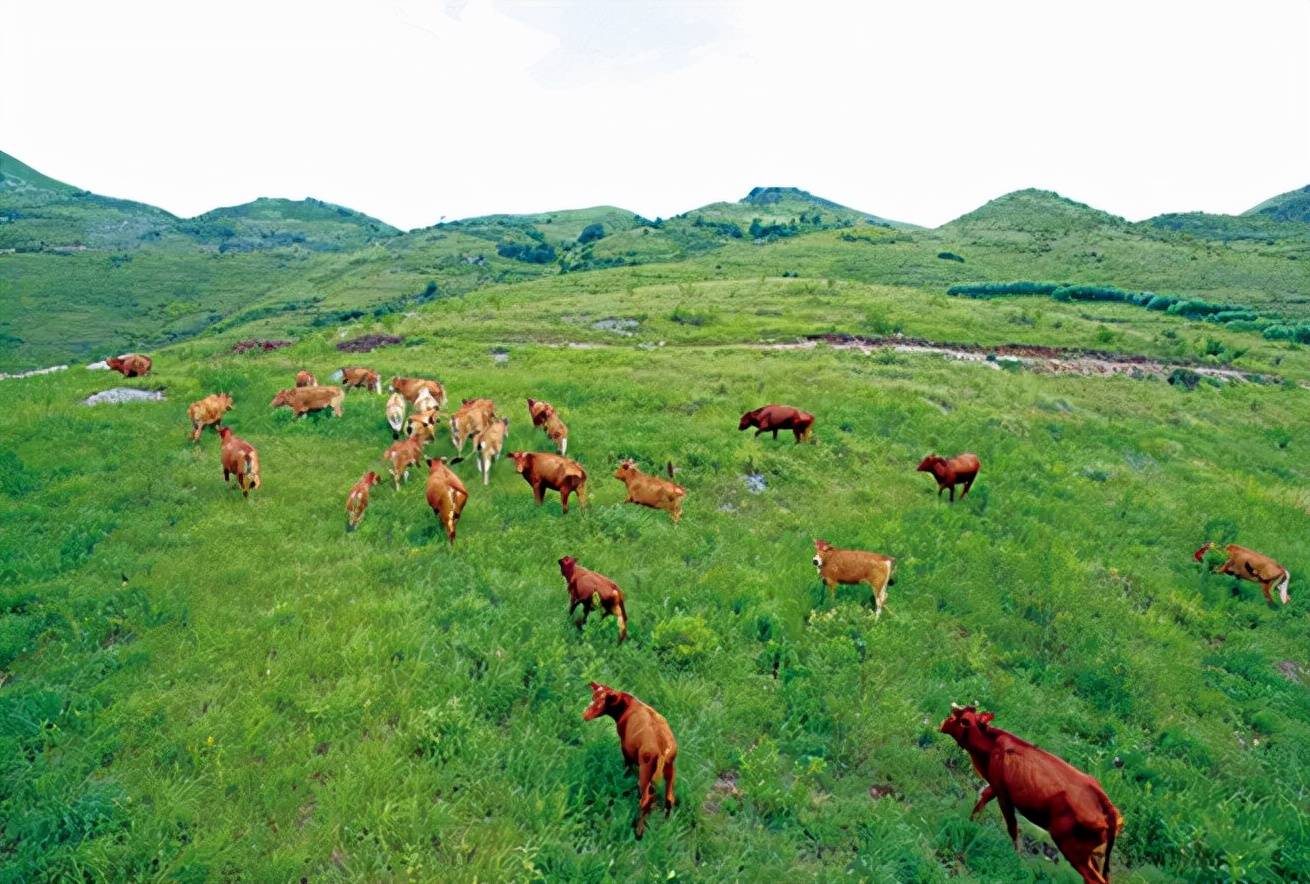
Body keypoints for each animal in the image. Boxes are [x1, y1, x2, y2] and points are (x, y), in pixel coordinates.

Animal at [586, 686, 681, 843]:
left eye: (601, 701)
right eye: (593, 696)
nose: (585, 715)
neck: (629, 705)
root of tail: (664, 748)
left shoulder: (626, 748)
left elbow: (627, 767)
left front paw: (624, 780)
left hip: (646, 768)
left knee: (646, 799)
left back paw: (638, 832)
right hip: (670, 769)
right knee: (669, 798)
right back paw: (665, 824)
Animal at [943, 707, 1126, 884]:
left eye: (965, 721)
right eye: (957, 711)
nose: (944, 723)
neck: (993, 745)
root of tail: (1107, 805)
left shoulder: (1004, 794)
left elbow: (1012, 826)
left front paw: (1016, 857)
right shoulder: (996, 785)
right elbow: (981, 800)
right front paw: (970, 822)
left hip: (1073, 849)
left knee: (1094, 879)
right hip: (1091, 855)